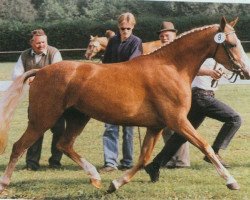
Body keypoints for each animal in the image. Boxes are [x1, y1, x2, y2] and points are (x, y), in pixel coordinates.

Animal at [0, 17, 250, 194]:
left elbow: (144, 159)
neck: (170, 67)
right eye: (231, 43)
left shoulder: (156, 126)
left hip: (78, 117)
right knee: (19, 146)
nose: (245, 71)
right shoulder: (177, 121)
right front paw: (232, 182)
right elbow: (205, 146)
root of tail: (41, 71)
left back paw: (95, 177)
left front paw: (115, 184)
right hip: (42, 118)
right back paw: (4, 183)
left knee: (64, 144)